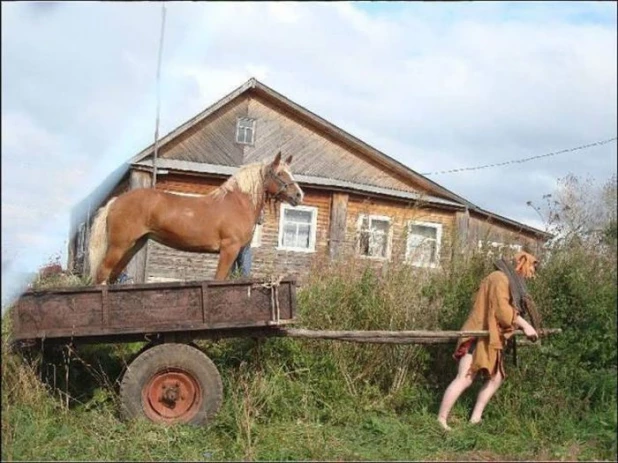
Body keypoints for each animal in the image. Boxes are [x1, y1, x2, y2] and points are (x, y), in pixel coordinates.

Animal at [87, 152, 304, 284]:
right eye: (279, 173)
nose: (299, 195)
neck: (237, 202)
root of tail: (116, 201)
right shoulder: (229, 249)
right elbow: (218, 279)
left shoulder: (237, 253)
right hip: (119, 245)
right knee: (102, 274)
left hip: (133, 246)